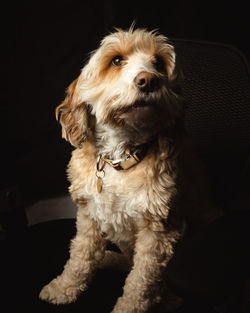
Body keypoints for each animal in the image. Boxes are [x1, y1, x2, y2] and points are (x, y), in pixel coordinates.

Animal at [39, 26, 219, 312]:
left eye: (159, 63)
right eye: (116, 60)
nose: (149, 80)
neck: (120, 158)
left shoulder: (158, 233)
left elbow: (140, 280)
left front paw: (131, 306)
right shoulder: (89, 215)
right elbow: (80, 256)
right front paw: (64, 288)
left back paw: (165, 298)